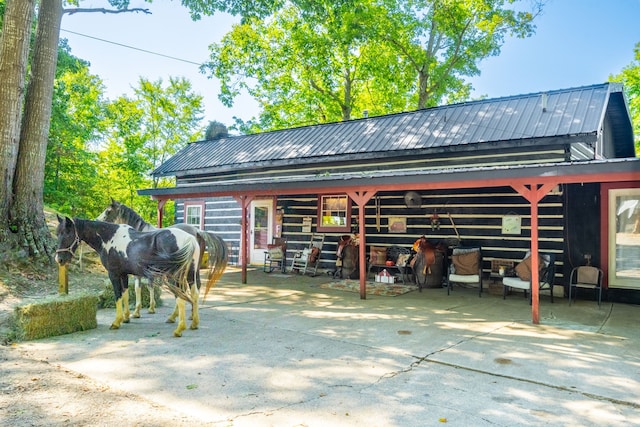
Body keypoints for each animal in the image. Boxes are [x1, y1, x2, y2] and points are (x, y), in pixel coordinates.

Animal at [55, 217, 200, 338]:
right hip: (190, 274)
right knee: (194, 294)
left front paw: (116, 322)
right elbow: (125, 294)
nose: (59, 259)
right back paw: (193, 324)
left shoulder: (113, 274)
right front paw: (126, 318)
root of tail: (190, 239)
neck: (109, 238)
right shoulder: (123, 274)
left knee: (181, 298)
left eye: (67, 233)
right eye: (58, 234)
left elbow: (118, 296)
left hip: (174, 277)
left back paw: (179, 329)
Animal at [96, 200, 229, 320]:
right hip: (193, 268)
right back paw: (191, 314)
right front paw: (150, 308)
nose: (97, 220)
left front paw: (140, 311)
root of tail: (197, 231)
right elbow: (150, 286)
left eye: (108, 211)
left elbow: (140, 288)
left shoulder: (140, 273)